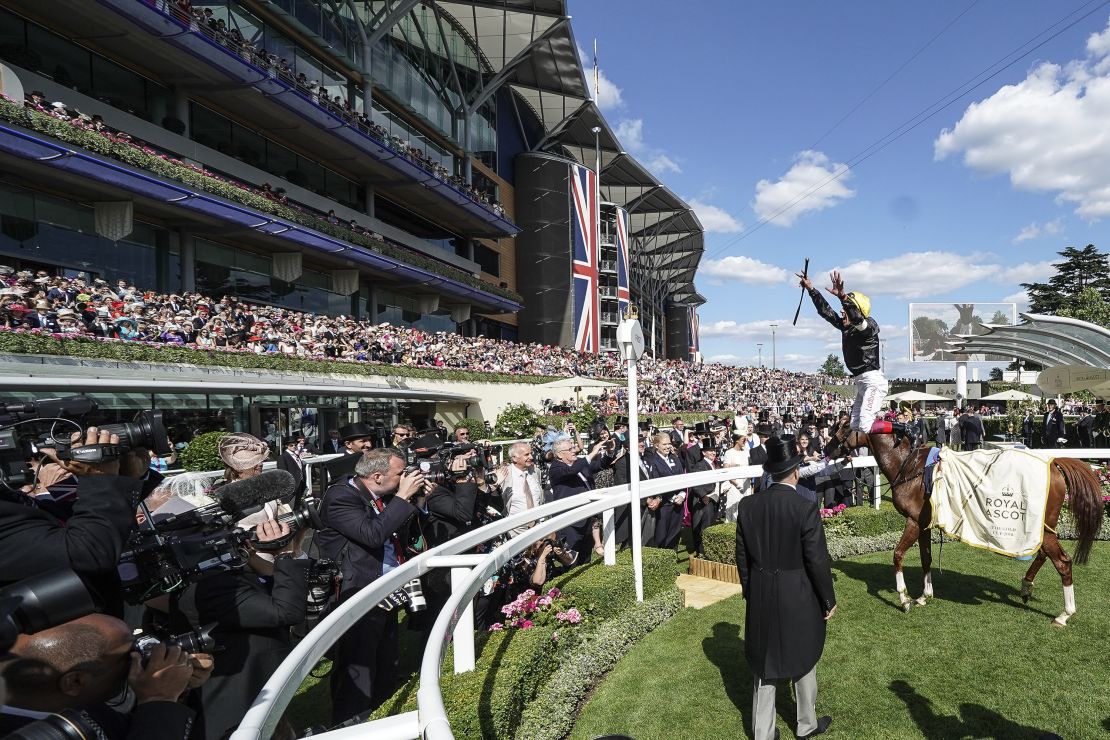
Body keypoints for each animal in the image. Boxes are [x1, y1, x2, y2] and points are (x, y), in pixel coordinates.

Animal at [825, 426, 1101, 630]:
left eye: (842, 425)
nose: (825, 450)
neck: (910, 467)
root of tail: (1053, 463)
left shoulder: (913, 522)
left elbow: (898, 555)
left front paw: (904, 599)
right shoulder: (923, 525)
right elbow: (925, 559)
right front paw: (924, 596)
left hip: (1038, 527)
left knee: (1063, 561)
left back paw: (1064, 614)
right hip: (1042, 528)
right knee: (1044, 554)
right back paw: (1026, 586)